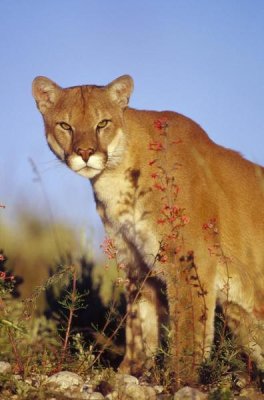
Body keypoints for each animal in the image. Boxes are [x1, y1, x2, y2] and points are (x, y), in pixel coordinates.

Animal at [32, 75, 262, 388]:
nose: (85, 153)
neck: (115, 177)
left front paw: (181, 378)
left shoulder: (192, 259)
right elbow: (139, 321)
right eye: (65, 126)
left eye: (102, 123)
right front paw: (130, 371)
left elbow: (188, 326)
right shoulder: (135, 260)